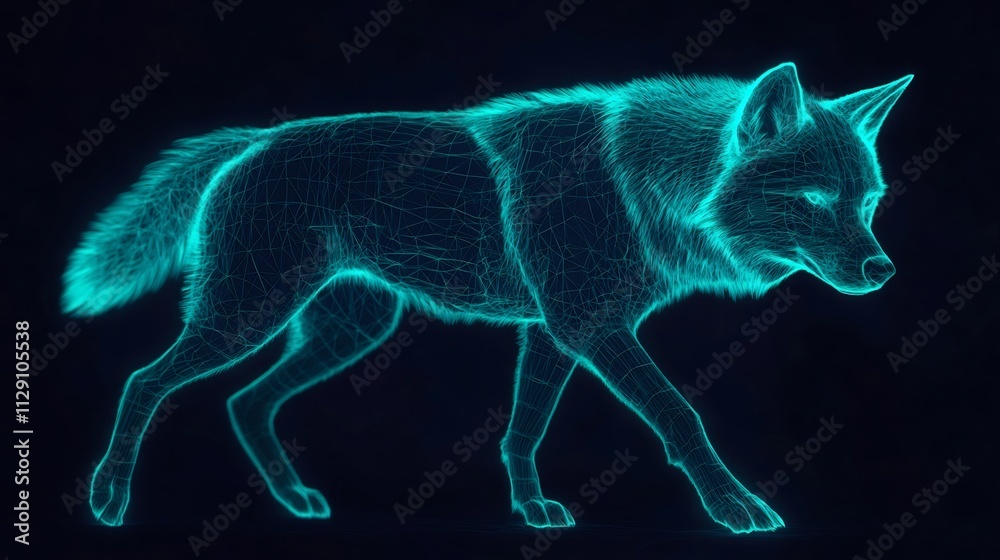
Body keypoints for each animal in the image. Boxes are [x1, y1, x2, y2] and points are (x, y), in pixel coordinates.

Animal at [62, 62, 911, 532]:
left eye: (869, 202)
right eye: (813, 200)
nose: (882, 272)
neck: (644, 186)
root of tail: (252, 139)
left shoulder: (552, 335)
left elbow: (522, 431)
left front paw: (530, 512)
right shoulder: (589, 327)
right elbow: (680, 415)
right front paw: (736, 510)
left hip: (348, 331)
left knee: (245, 401)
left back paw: (296, 499)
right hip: (247, 317)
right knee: (147, 381)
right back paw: (108, 499)